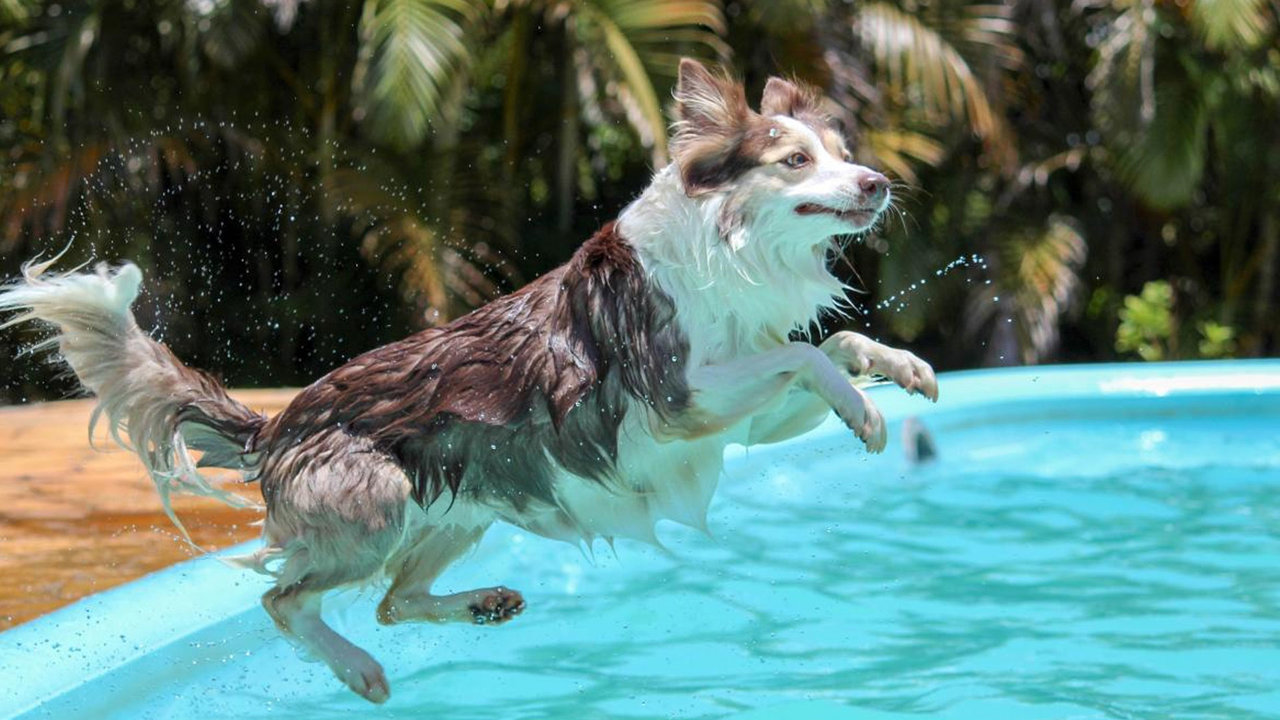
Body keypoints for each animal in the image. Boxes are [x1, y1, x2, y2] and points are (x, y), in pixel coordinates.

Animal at [0, 60, 942, 702]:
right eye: (794, 160)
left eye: (844, 153)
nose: (877, 182)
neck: (731, 249)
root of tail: (276, 426)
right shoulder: (680, 398)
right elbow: (803, 353)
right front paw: (867, 412)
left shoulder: (736, 421)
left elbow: (834, 342)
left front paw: (899, 372)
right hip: (373, 506)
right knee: (285, 598)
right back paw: (361, 670)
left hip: (465, 507)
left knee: (392, 600)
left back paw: (481, 607)